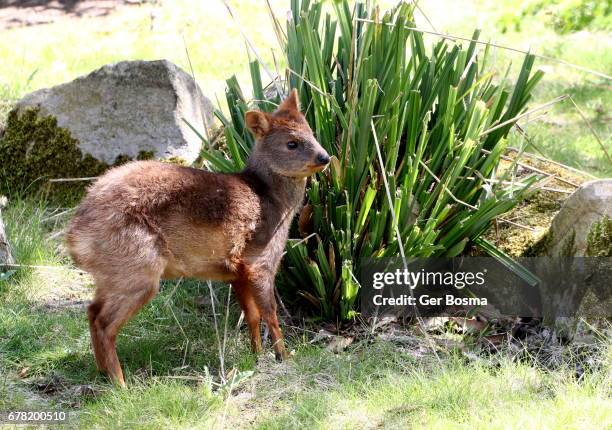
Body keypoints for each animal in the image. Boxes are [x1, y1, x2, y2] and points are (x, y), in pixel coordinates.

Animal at [65, 90, 330, 386]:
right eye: (292, 143)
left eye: (312, 133)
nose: (325, 157)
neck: (270, 200)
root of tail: (74, 235)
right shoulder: (260, 259)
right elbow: (270, 312)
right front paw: (283, 355)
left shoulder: (236, 270)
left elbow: (251, 315)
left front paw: (256, 355)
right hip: (137, 269)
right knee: (104, 323)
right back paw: (120, 383)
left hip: (113, 274)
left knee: (91, 311)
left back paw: (103, 373)